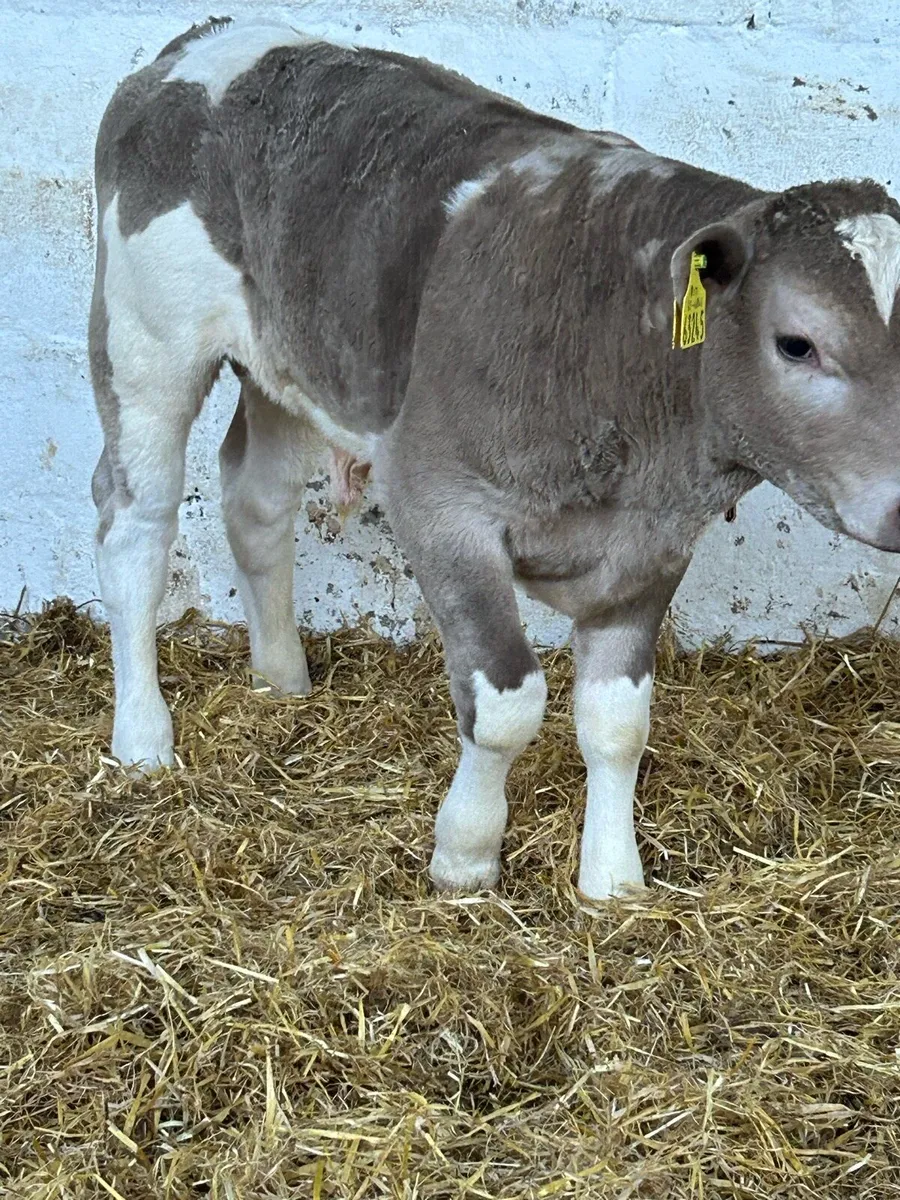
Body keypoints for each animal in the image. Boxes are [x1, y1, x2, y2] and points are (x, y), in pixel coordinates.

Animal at [89, 17, 900, 900]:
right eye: (797, 343)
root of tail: (213, 36)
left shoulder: (655, 545)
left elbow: (618, 721)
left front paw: (612, 879)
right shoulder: (441, 505)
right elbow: (507, 700)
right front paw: (466, 855)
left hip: (292, 364)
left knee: (255, 500)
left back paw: (282, 679)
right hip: (144, 341)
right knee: (134, 525)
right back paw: (143, 739)